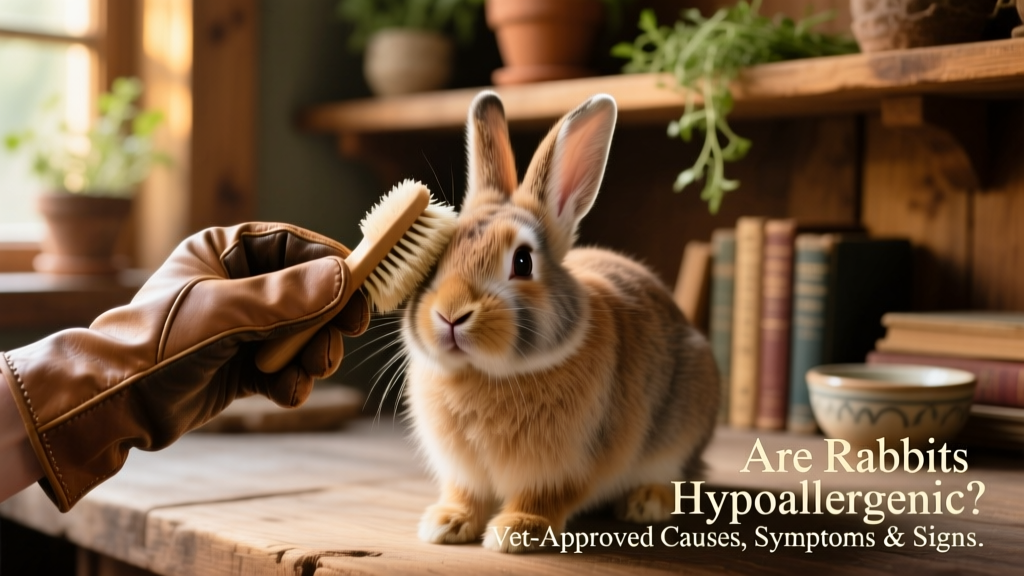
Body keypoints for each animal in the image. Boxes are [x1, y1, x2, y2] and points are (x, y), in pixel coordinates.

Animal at [400, 91, 719, 553]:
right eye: (435, 257)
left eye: (522, 261)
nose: (450, 314)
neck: (485, 374)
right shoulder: (463, 472)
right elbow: (465, 494)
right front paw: (445, 523)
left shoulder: (567, 466)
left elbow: (545, 497)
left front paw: (516, 531)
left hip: (683, 422)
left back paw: (646, 503)